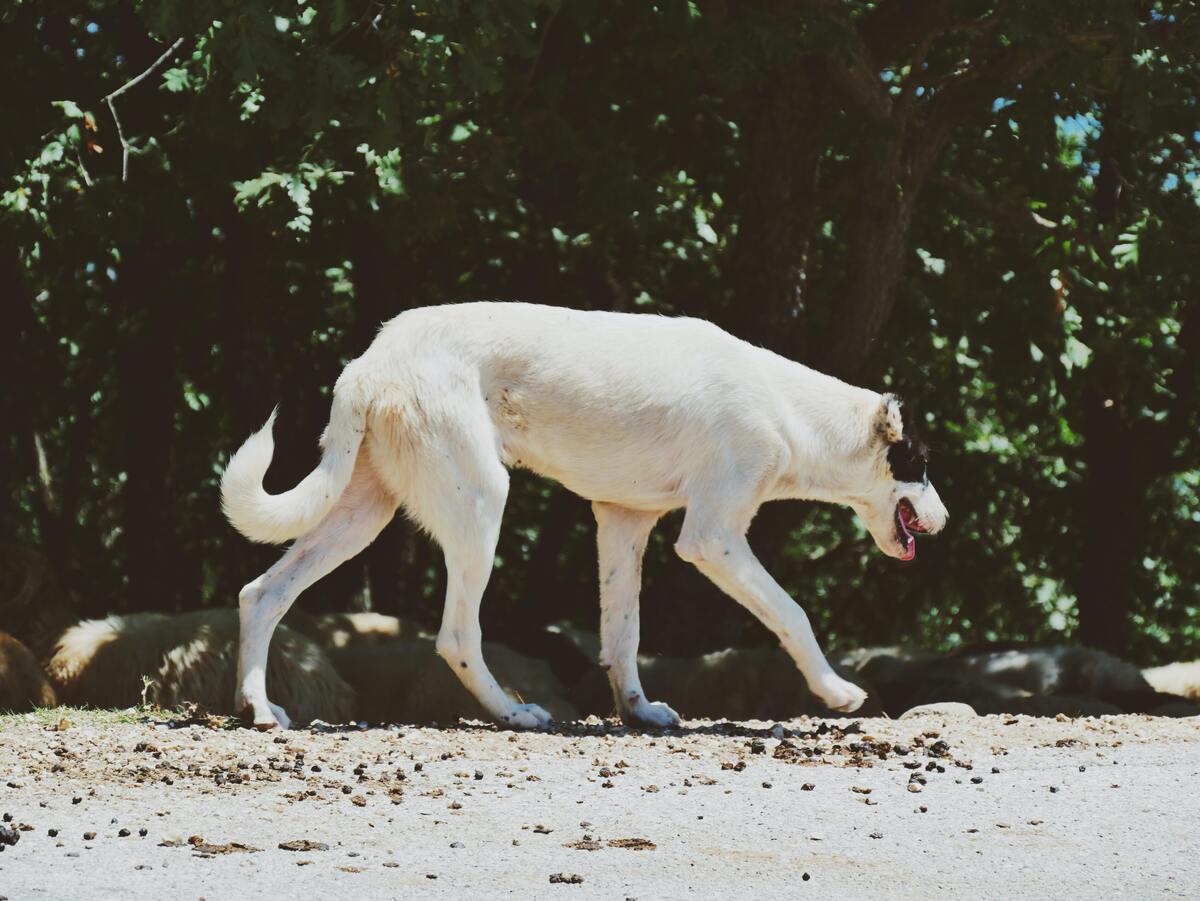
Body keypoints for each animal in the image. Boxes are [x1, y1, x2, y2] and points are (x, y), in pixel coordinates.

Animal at [218, 307, 945, 729]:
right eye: (921, 461)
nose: (944, 518)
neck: (787, 408)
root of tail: (369, 364)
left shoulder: (624, 522)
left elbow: (622, 636)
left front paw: (639, 710)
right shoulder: (712, 538)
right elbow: (792, 613)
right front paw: (837, 693)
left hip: (361, 513)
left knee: (262, 592)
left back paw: (260, 709)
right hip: (480, 505)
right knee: (456, 635)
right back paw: (514, 713)